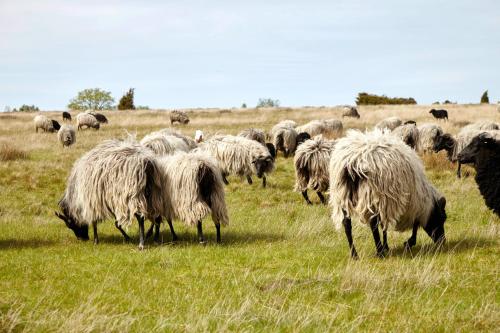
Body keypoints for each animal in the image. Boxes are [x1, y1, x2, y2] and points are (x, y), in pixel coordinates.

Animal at [330, 128, 448, 258]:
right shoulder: (408, 203)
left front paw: (390, 246)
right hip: (372, 193)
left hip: (342, 194)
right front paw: (408, 242)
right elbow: (411, 225)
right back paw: (379, 251)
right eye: (442, 218)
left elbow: (385, 224)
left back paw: (354, 254)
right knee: (373, 223)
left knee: (347, 224)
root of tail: (352, 163)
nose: (442, 241)